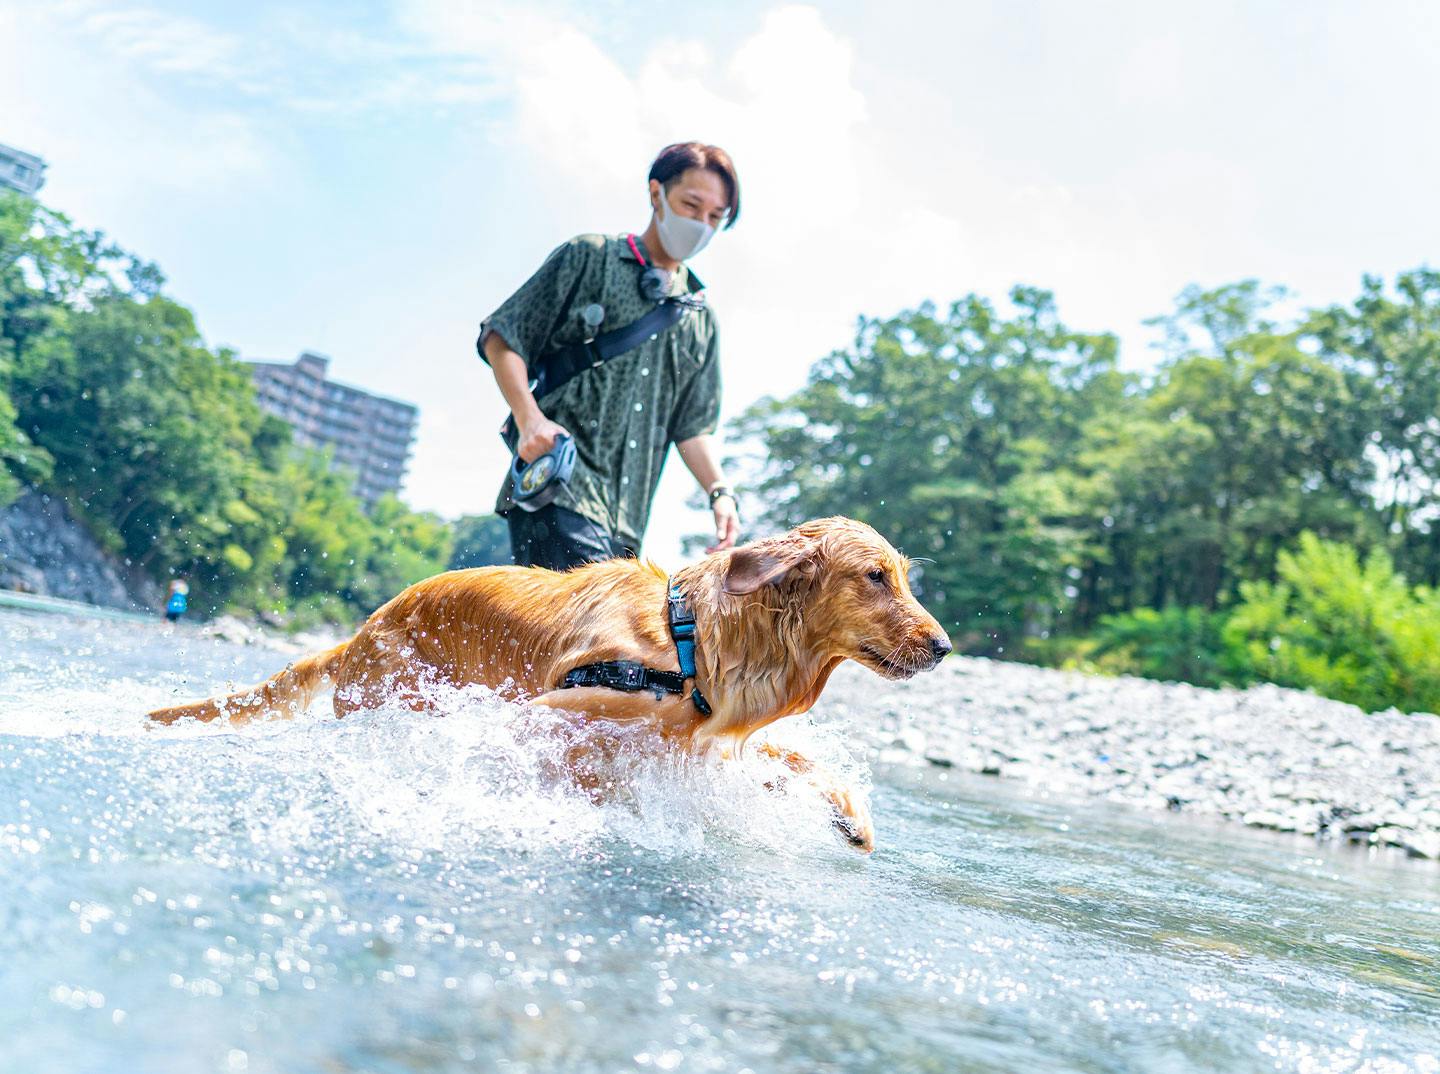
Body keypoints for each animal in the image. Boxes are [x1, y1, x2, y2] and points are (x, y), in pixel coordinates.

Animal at [151, 515, 950, 846]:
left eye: (903, 576)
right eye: (875, 577)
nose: (945, 647)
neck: (692, 642)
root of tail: (360, 632)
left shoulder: (704, 741)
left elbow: (796, 757)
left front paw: (854, 817)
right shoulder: (551, 706)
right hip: (398, 698)